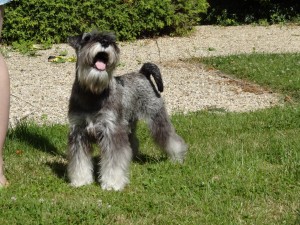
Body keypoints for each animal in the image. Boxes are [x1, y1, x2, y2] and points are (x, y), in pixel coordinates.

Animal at [67, 30, 188, 191]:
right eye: (87, 38)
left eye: (111, 38)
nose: (105, 41)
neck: (92, 94)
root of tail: (142, 73)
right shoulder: (78, 132)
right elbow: (79, 160)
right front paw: (80, 180)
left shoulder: (112, 130)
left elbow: (114, 160)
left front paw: (112, 184)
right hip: (128, 123)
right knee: (132, 142)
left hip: (157, 117)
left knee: (169, 137)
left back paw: (177, 157)